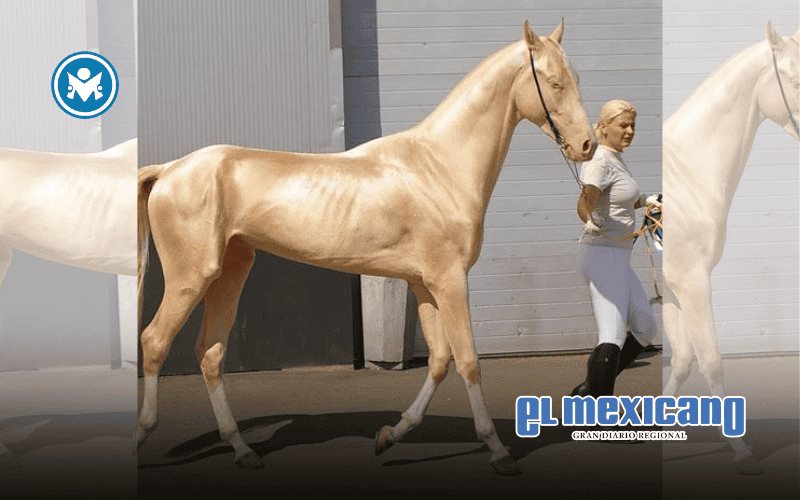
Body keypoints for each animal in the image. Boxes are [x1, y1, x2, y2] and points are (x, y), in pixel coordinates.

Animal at [135, 20, 595, 476]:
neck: (440, 168)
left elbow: (439, 360)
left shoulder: (424, 285)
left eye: (576, 78)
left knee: (210, 354)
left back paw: (243, 450)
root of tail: (169, 170)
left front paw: (389, 436)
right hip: (190, 277)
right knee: (155, 341)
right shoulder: (450, 281)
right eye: (554, 82)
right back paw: (144, 437)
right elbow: (468, 360)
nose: (587, 145)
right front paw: (498, 451)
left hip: (230, 272)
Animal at [662, 23, 799, 474]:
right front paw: (741, 451)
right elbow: (711, 361)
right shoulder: (693, 282)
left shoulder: (672, 289)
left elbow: (682, 362)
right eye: (795, 80)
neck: (685, 174)